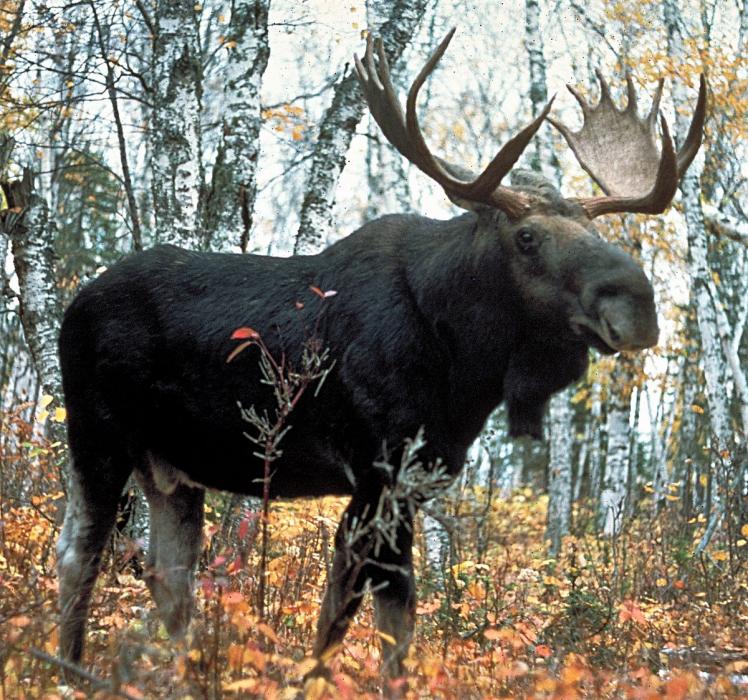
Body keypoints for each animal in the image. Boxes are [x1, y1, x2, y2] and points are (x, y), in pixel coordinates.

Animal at [56, 28, 705, 684]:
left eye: (597, 234)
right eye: (527, 237)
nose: (638, 302)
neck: (465, 365)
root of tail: (74, 302)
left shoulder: (414, 479)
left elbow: (375, 619)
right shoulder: (378, 471)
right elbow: (361, 617)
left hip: (172, 470)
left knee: (169, 578)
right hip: (96, 435)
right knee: (79, 554)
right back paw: (69, 670)